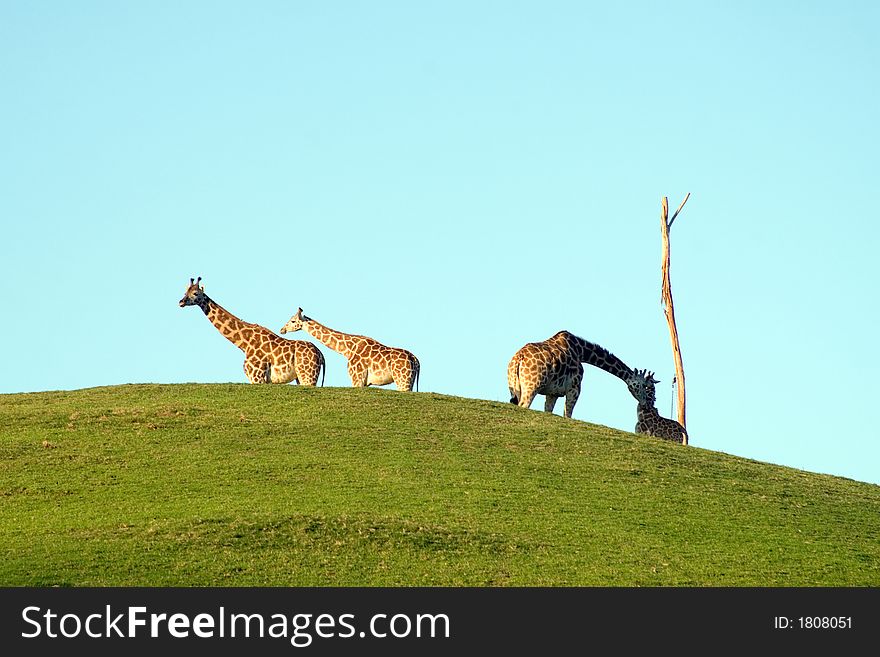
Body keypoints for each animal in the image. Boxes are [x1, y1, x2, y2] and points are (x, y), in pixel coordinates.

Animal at [179, 276, 326, 384]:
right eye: (185, 292)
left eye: (195, 293)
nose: (181, 302)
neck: (244, 343)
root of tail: (320, 355)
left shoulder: (257, 377)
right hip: (301, 377)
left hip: (307, 375)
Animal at [282, 306, 420, 390]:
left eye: (293, 321)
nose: (282, 329)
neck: (347, 350)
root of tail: (415, 360)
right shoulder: (364, 383)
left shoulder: (357, 378)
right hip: (410, 380)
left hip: (402, 379)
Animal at [506, 330, 644, 418]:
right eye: (642, 386)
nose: (644, 402)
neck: (581, 352)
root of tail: (518, 359)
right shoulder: (575, 388)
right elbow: (568, 414)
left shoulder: (553, 392)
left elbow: (549, 410)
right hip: (532, 386)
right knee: (524, 405)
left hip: (515, 388)